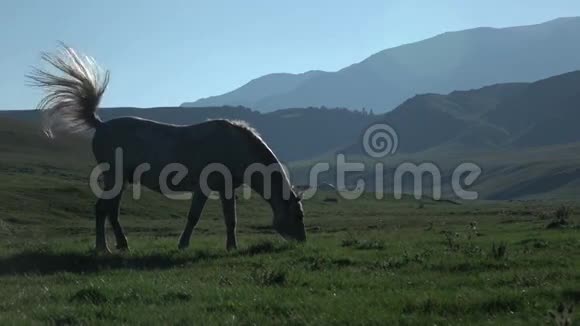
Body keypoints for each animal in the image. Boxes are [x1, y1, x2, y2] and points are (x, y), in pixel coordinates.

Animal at [28, 45, 306, 253]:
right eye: (298, 216)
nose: (302, 242)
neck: (235, 146)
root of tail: (101, 124)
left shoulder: (226, 189)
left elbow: (231, 219)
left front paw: (231, 247)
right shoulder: (204, 188)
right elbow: (194, 217)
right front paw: (183, 245)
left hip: (121, 180)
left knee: (112, 212)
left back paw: (122, 244)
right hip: (114, 177)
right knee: (102, 210)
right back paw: (103, 248)